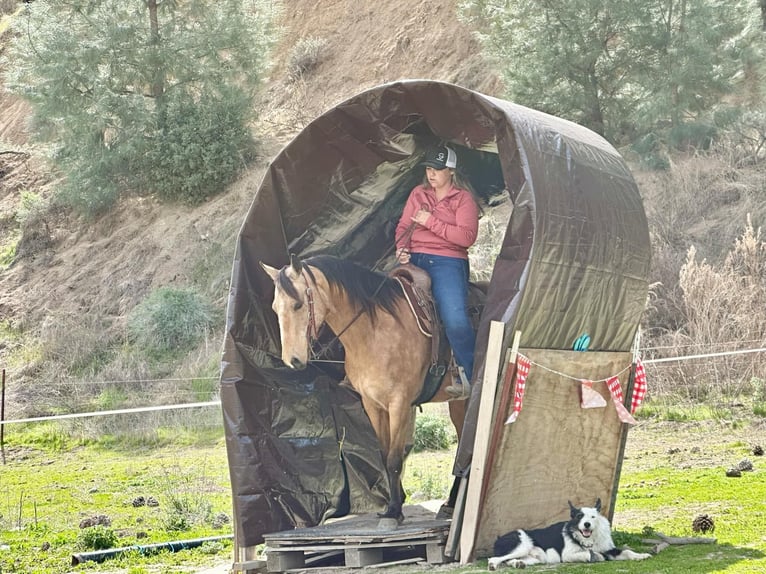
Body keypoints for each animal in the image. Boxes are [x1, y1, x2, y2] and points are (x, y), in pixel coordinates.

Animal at [260, 254, 484, 524]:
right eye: (275, 308)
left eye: (297, 305)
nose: (291, 360)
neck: (374, 331)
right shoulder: (372, 404)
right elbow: (384, 454)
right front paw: (392, 505)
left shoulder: (399, 403)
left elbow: (395, 458)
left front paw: (394, 512)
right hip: (458, 403)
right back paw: (449, 504)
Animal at [488, 500, 652, 572]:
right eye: (579, 516)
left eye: (593, 517)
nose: (587, 524)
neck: (589, 539)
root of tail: (499, 538)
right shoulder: (567, 555)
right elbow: (588, 554)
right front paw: (595, 556)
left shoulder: (609, 549)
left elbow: (627, 551)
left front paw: (641, 555)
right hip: (523, 545)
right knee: (494, 558)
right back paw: (493, 565)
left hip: (535, 558)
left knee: (509, 560)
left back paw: (518, 564)